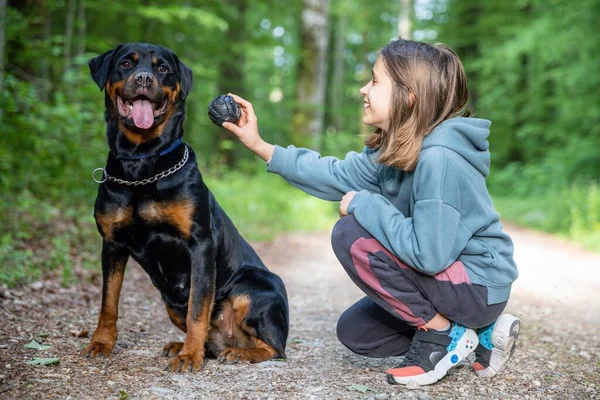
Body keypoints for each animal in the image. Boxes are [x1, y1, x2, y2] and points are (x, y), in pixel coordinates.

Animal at [83, 43, 290, 372]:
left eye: (162, 68)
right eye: (126, 63)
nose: (144, 79)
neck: (141, 164)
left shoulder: (200, 244)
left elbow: (198, 309)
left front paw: (190, 357)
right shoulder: (112, 244)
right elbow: (109, 302)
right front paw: (101, 343)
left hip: (254, 287)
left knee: (275, 347)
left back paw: (237, 353)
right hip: (170, 304)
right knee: (213, 339)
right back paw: (185, 346)